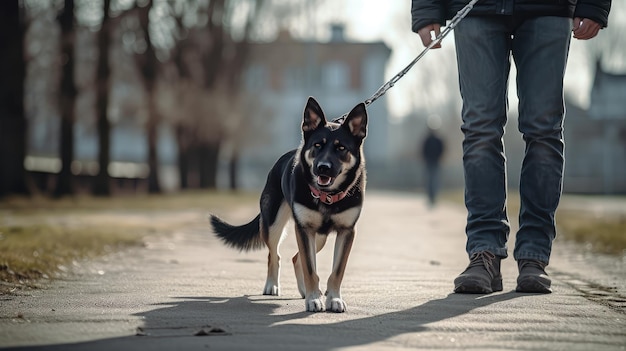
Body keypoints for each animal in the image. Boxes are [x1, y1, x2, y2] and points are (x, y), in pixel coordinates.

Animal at [210, 97, 366, 314]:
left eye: (341, 148)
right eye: (318, 145)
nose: (322, 168)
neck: (327, 195)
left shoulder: (346, 231)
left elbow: (336, 271)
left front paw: (333, 298)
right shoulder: (303, 228)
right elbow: (310, 268)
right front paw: (314, 299)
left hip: (319, 237)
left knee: (295, 257)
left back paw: (305, 290)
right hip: (274, 225)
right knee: (274, 255)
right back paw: (273, 286)